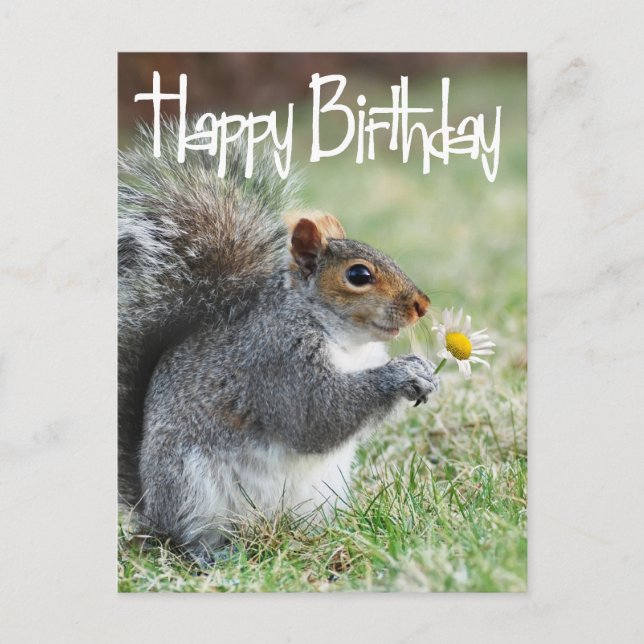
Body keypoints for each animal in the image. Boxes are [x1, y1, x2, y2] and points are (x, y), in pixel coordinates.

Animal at [118, 118, 440, 558]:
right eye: (358, 275)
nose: (422, 305)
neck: (346, 342)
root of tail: (150, 507)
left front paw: (424, 370)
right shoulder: (277, 359)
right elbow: (316, 415)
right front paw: (401, 374)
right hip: (190, 486)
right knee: (188, 536)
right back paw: (212, 554)